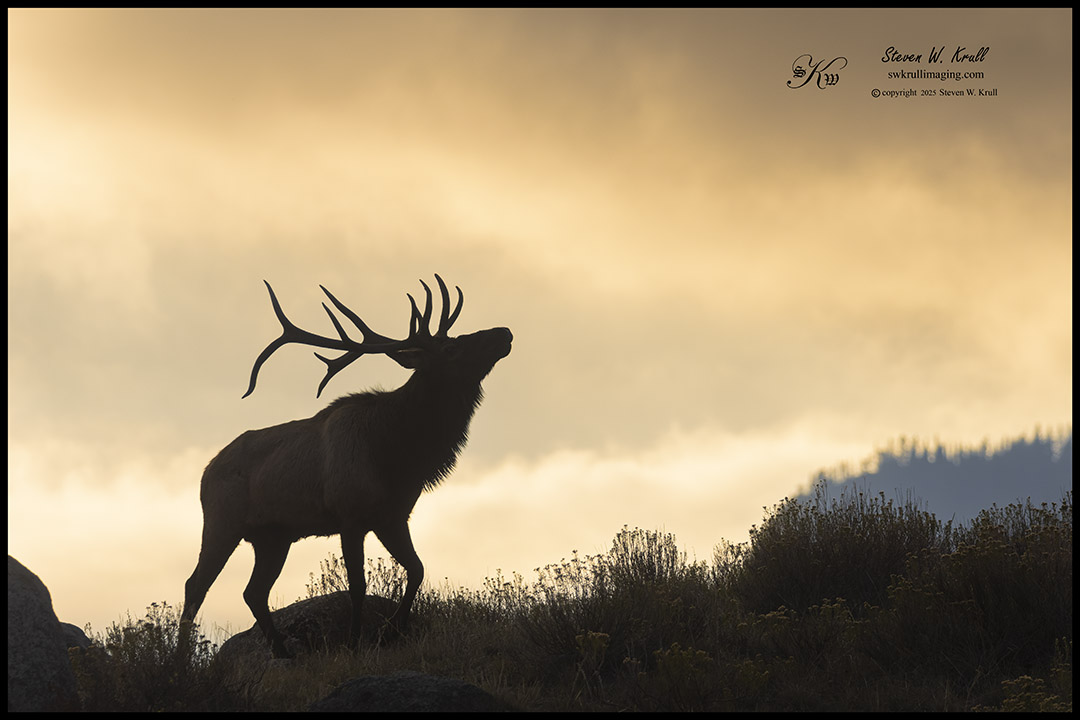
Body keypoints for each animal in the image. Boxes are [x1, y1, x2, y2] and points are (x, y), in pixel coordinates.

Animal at [180, 275, 512, 658]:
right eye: (450, 349)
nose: (504, 332)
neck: (400, 457)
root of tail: (205, 473)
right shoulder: (350, 516)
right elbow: (357, 583)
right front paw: (355, 641)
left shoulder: (393, 516)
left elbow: (417, 569)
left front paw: (392, 629)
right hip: (222, 522)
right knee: (195, 586)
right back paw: (179, 661)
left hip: (273, 536)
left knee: (253, 592)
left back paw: (282, 650)